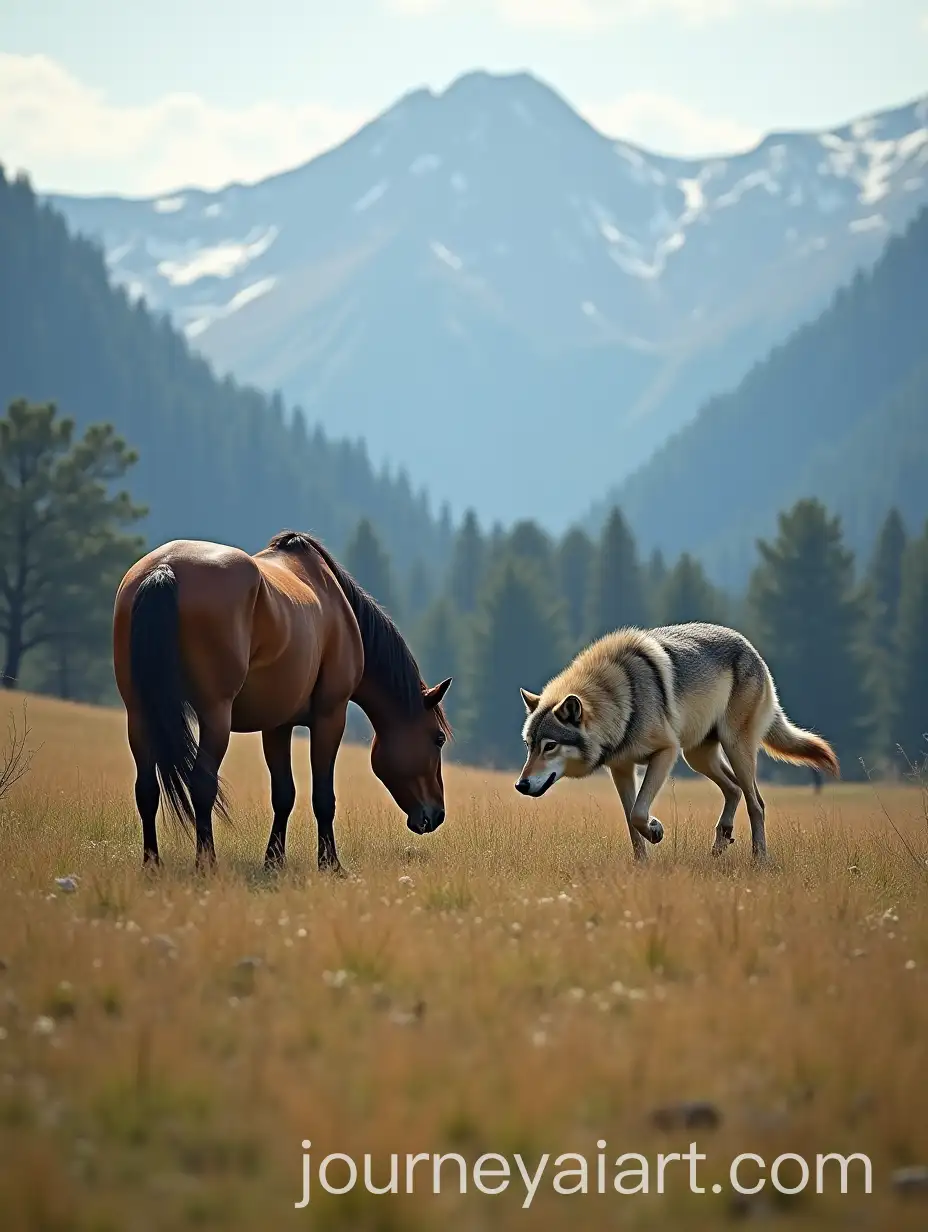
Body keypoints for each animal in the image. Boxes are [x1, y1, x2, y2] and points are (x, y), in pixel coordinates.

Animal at [112, 530, 452, 873]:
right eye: (438, 739)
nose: (436, 815)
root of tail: (164, 568)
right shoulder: (330, 717)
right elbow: (323, 797)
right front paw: (330, 864)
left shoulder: (277, 725)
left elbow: (283, 793)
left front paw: (274, 861)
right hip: (214, 716)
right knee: (202, 785)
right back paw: (206, 864)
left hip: (140, 714)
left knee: (147, 788)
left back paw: (152, 864)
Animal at [516, 622, 839, 861]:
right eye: (529, 745)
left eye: (549, 746)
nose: (520, 785)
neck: (622, 701)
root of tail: (749, 647)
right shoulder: (621, 768)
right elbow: (630, 821)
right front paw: (642, 865)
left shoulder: (665, 753)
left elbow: (639, 813)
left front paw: (656, 830)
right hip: (697, 757)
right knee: (733, 789)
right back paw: (721, 842)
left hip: (732, 749)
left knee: (756, 802)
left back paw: (759, 860)